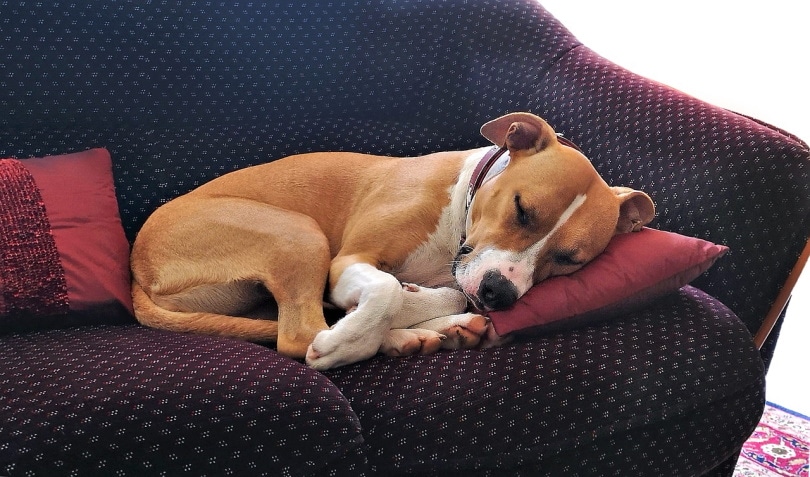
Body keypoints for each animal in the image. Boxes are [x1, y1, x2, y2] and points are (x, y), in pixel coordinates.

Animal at [131, 111, 652, 368]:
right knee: (300, 333)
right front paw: (363, 329)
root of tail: (139, 270)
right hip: (298, 234)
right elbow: (385, 290)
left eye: (569, 259)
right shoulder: (350, 260)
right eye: (522, 209)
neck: (459, 211)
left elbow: (432, 291)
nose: (498, 295)